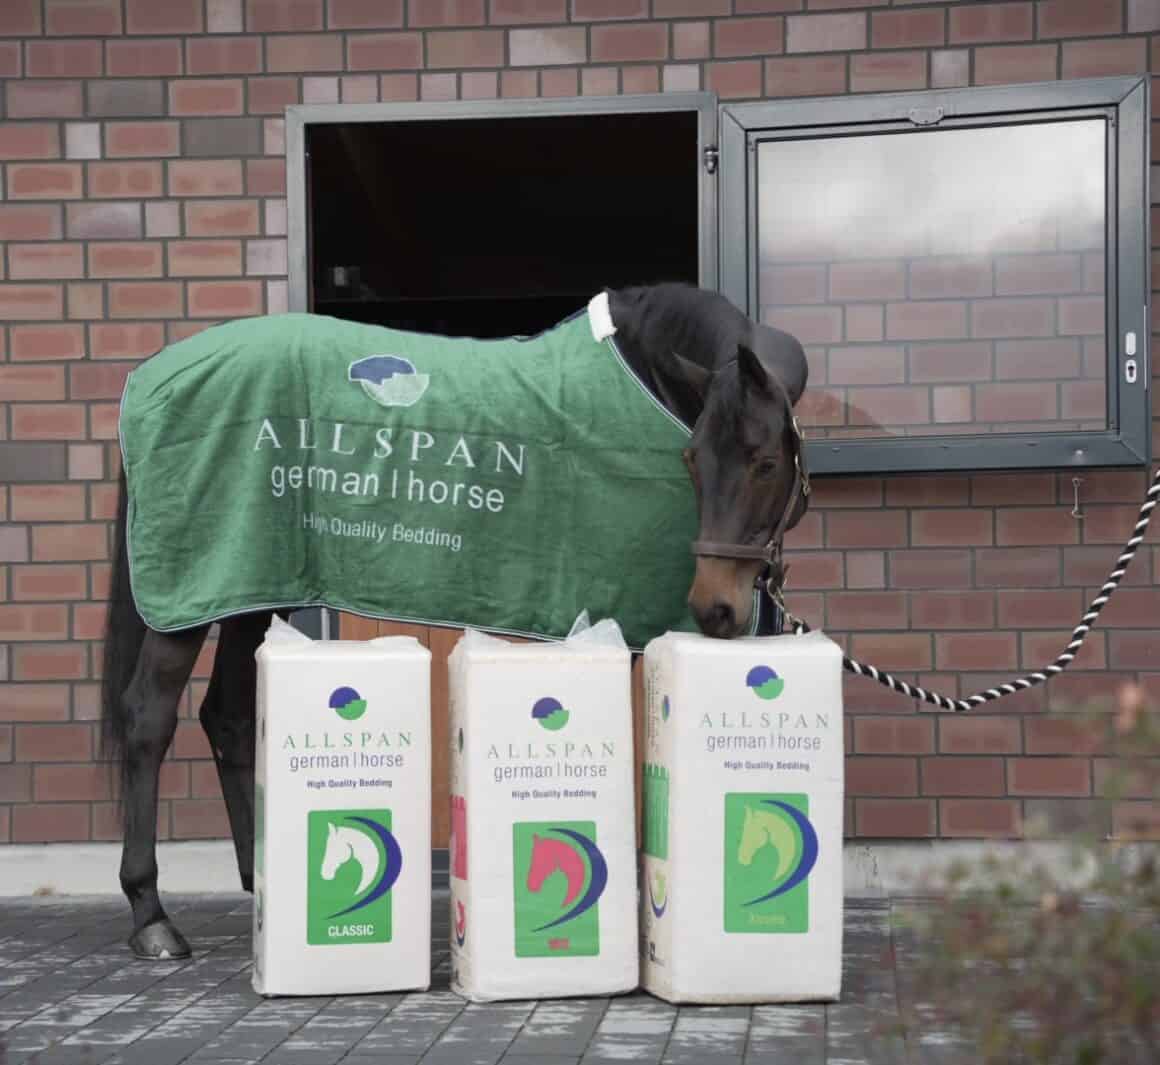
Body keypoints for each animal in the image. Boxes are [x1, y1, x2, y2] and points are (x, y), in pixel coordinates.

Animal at [101, 282, 810, 959]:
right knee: (148, 718)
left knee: (228, 716)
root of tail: (149, 377)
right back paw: (151, 916)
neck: (644, 378)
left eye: (765, 463)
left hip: (255, 582)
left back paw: (261, 886)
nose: (716, 607)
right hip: (193, 591)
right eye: (693, 459)